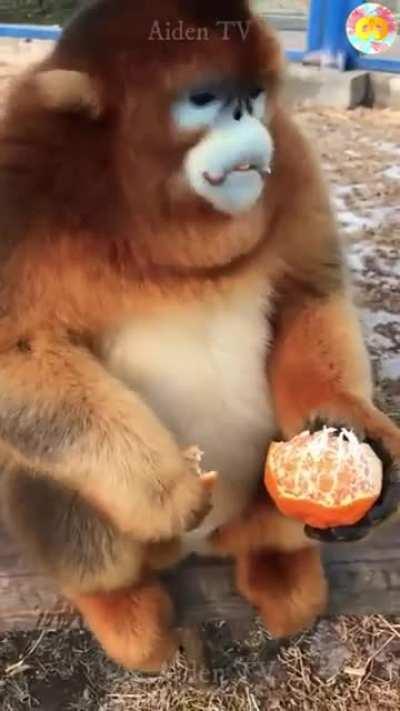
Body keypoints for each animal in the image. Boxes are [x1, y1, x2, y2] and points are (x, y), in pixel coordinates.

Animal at [0, 0, 399, 672]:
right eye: (206, 99)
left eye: (254, 96)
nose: (246, 119)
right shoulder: (20, 186)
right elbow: (15, 353)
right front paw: (163, 487)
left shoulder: (292, 157)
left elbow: (309, 295)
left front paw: (359, 430)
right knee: (47, 467)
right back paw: (121, 605)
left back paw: (276, 562)